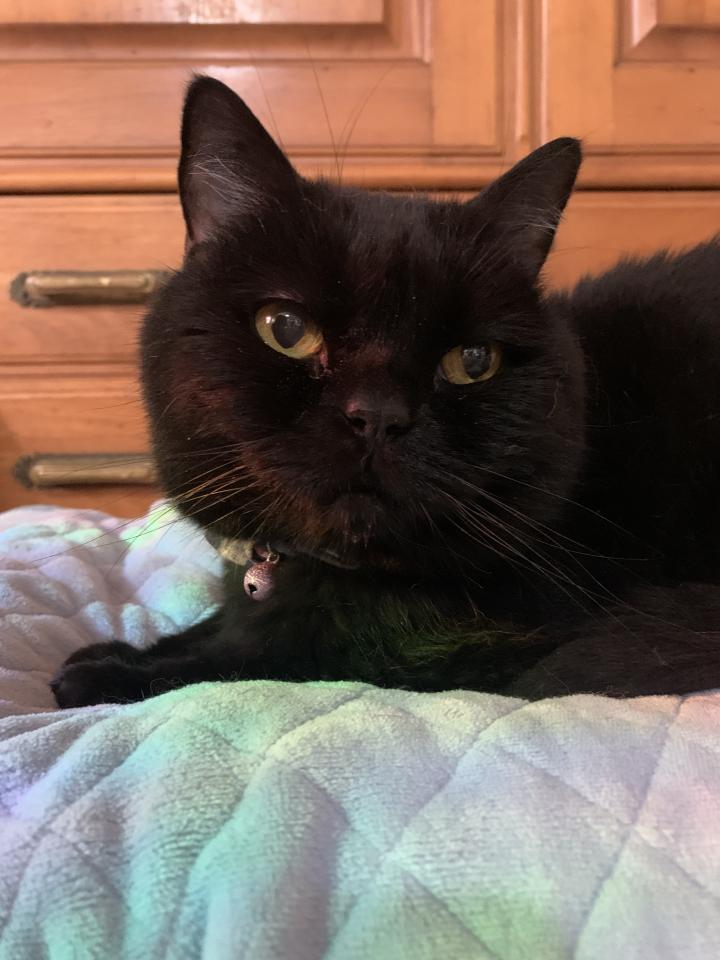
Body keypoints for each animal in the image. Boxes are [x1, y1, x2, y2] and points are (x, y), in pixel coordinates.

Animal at [51, 75, 720, 708]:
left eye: (473, 361)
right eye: (285, 329)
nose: (377, 416)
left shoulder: (469, 639)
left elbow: (267, 653)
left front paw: (109, 673)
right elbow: (219, 623)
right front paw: (124, 650)